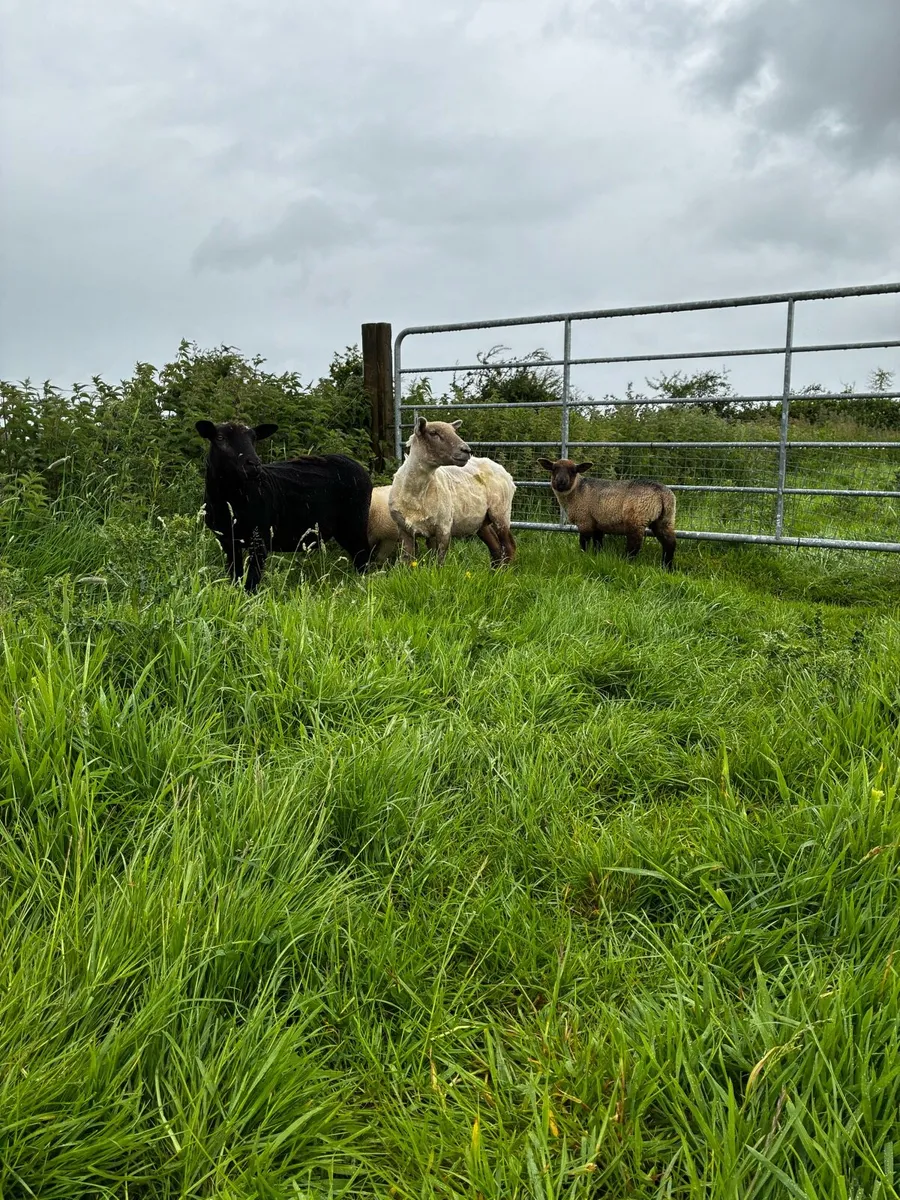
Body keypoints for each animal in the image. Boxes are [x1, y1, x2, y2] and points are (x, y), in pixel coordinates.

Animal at [196, 420, 373, 591]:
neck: (229, 500)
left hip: (354, 523)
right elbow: (235, 574)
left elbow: (252, 580)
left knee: (363, 556)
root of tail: (356, 464)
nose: (254, 464)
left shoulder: (260, 538)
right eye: (220, 438)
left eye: (254, 439)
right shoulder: (227, 540)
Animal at [388, 417, 516, 567]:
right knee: (495, 547)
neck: (416, 495)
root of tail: (502, 469)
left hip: (501, 512)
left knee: (509, 546)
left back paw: (504, 571)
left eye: (454, 432)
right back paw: (494, 571)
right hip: (481, 521)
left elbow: (439, 560)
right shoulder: (404, 530)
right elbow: (407, 560)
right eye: (433, 433)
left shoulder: (444, 526)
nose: (467, 450)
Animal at [538, 457, 676, 569]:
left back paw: (626, 562)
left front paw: (583, 556)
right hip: (665, 519)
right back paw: (666, 567)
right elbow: (598, 543)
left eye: (573, 471)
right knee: (669, 543)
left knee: (635, 545)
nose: (561, 482)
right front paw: (596, 557)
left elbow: (584, 541)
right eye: (554, 469)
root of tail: (662, 493)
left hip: (636, 518)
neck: (577, 490)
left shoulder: (584, 521)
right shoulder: (598, 523)